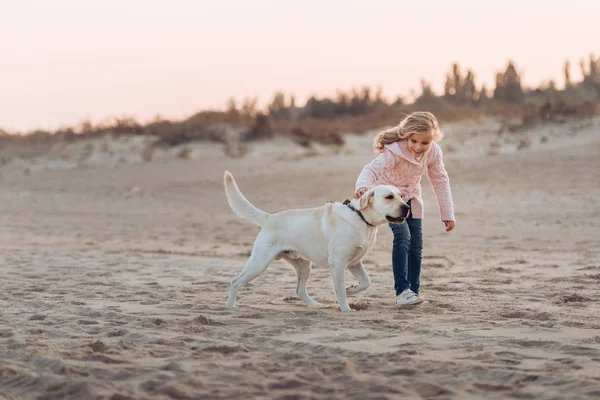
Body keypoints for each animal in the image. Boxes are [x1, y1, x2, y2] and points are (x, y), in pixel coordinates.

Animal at [223, 170, 410, 310]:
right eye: (389, 197)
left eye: (401, 195)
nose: (407, 207)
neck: (361, 218)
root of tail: (269, 217)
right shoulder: (338, 263)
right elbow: (340, 291)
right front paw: (346, 308)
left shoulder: (354, 262)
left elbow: (366, 282)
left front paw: (352, 289)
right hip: (259, 262)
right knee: (235, 281)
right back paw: (230, 306)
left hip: (304, 266)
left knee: (299, 290)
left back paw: (315, 305)